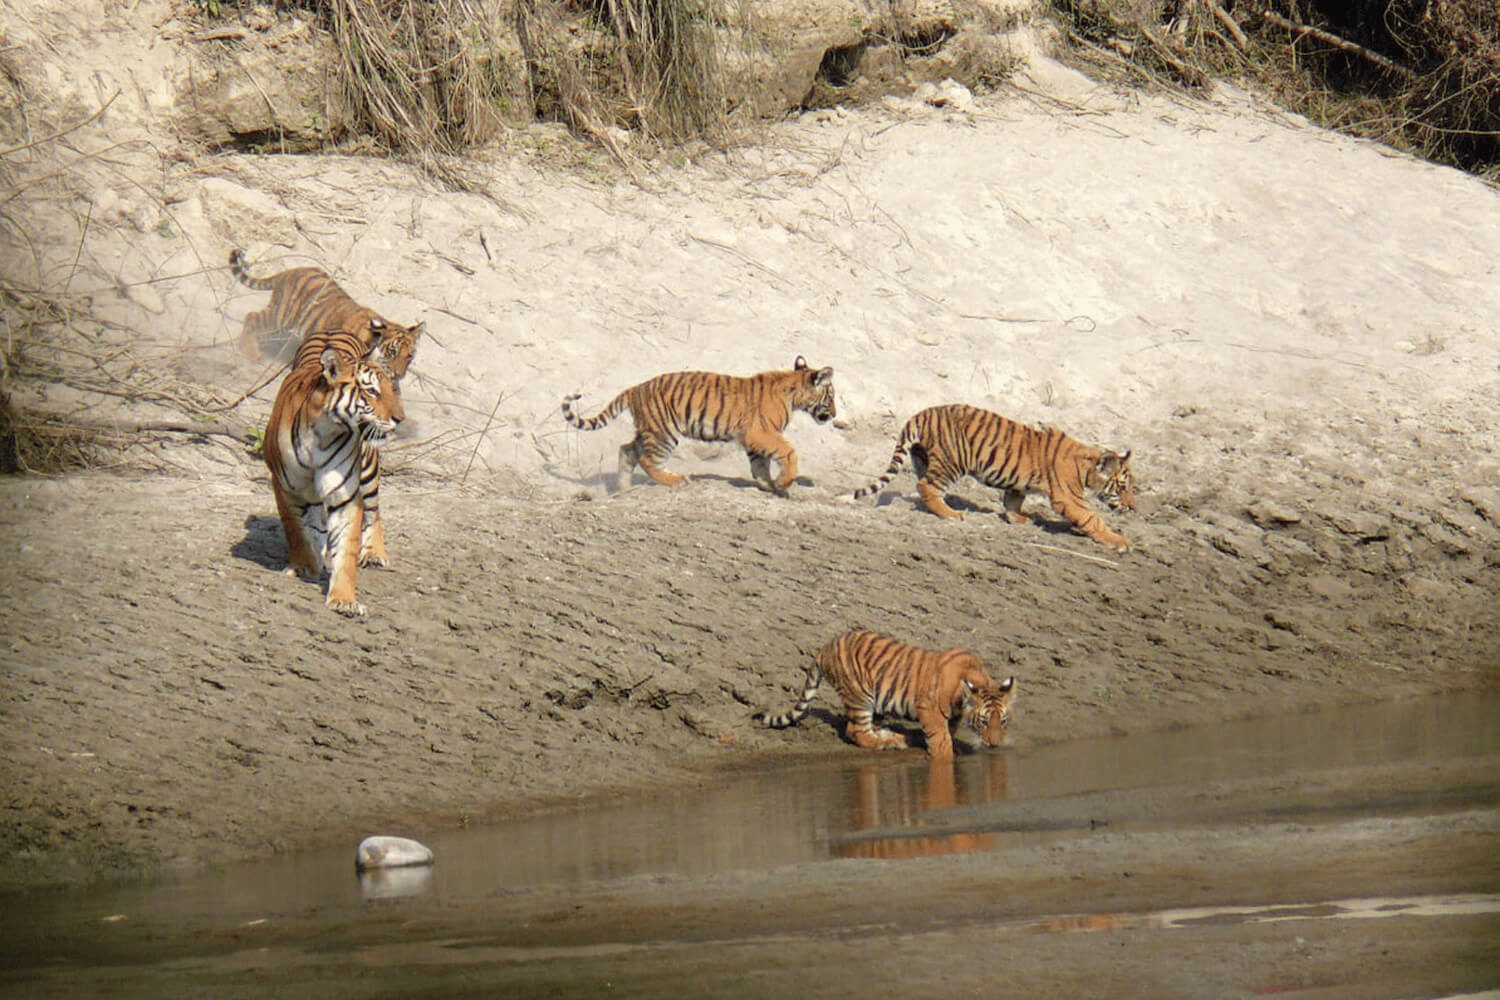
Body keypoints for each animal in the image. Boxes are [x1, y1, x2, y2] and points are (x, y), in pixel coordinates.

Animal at [229, 248, 423, 378]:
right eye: (392, 352)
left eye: (409, 357)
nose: (398, 374)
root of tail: (288, 272)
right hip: (281, 316)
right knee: (251, 317)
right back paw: (251, 353)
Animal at [263, 329, 405, 616]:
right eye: (371, 391)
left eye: (390, 390)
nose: (400, 418)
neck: (325, 432)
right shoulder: (285, 487)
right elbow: (295, 530)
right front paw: (304, 566)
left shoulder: (347, 495)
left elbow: (347, 548)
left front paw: (344, 599)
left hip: (369, 469)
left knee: (374, 511)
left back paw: (374, 554)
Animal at [560, 356, 836, 495]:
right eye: (831, 395)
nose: (834, 414)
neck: (795, 393)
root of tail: (635, 388)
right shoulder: (761, 432)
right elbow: (788, 452)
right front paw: (783, 483)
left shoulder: (754, 438)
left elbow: (760, 466)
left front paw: (771, 485)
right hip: (664, 433)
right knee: (648, 461)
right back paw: (677, 481)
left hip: (649, 430)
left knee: (627, 451)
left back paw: (624, 489)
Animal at [756, 630, 1016, 761]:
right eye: (984, 721)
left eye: (1002, 721)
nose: (995, 745)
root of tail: (825, 648)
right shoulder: (929, 710)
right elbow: (940, 738)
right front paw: (945, 757)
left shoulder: (951, 716)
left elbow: (948, 733)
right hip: (860, 696)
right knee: (855, 730)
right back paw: (886, 743)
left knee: (870, 726)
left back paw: (895, 737)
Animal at [850, 403, 1135, 552]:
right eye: (1122, 488)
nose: (1133, 507)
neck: (1086, 466)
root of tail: (922, 413)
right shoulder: (1069, 498)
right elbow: (1093, 519)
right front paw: (1120, 541)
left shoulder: (1018, 483)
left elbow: (1013, 500)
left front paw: (1017, 518)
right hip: (952, 462)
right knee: (927, 486)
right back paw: (951, 514)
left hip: (924, 458)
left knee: (922, 486)